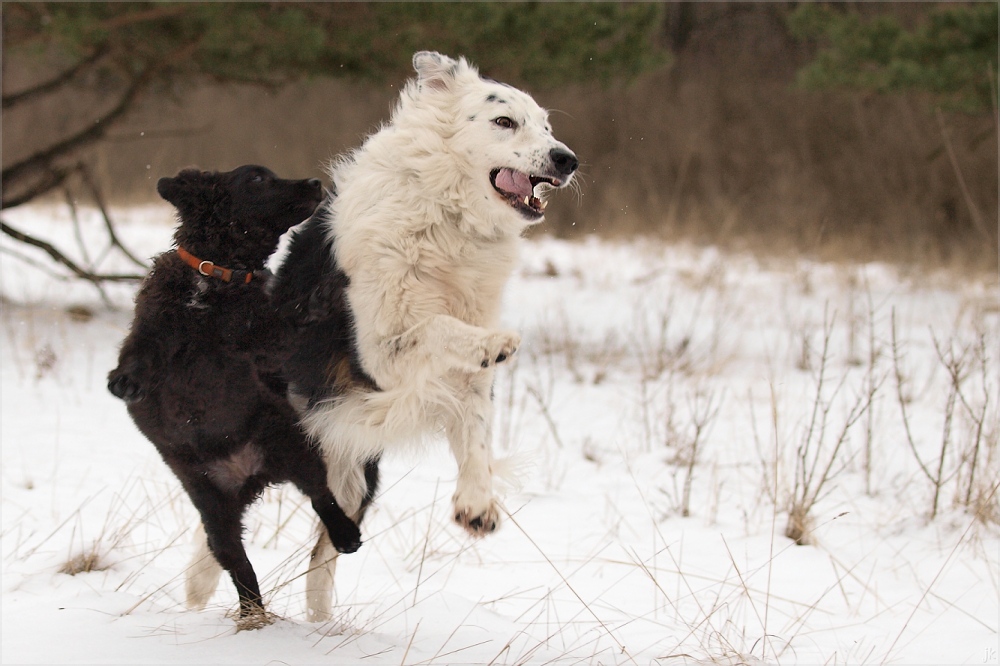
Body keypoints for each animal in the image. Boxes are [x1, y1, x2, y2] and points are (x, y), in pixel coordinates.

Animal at [108, 165, 360, 616]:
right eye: (256, 179)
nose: (316, 183)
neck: (214, 277)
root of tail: (249, 478)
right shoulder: (153, 326)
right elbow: (139, 352)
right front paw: (124, 381)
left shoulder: (260, 341)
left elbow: (290, 319)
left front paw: (326, 291)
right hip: (213, 508)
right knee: (239, 564)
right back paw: (251, 615)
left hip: (288, 441)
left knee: (321, 496)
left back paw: (346, 536)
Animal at [186, 50, 580, 616]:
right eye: (504, 121)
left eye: (547, 126)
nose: (567, 159)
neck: (448, 218)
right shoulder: (377, 352)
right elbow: (435, 327)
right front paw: (493, 343)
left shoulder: (460, 372)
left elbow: (476, 426)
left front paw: (476, 504)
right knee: (217, 528)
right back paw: (197, 590)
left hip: (350, 483)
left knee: (320, 563)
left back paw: (323, 624)